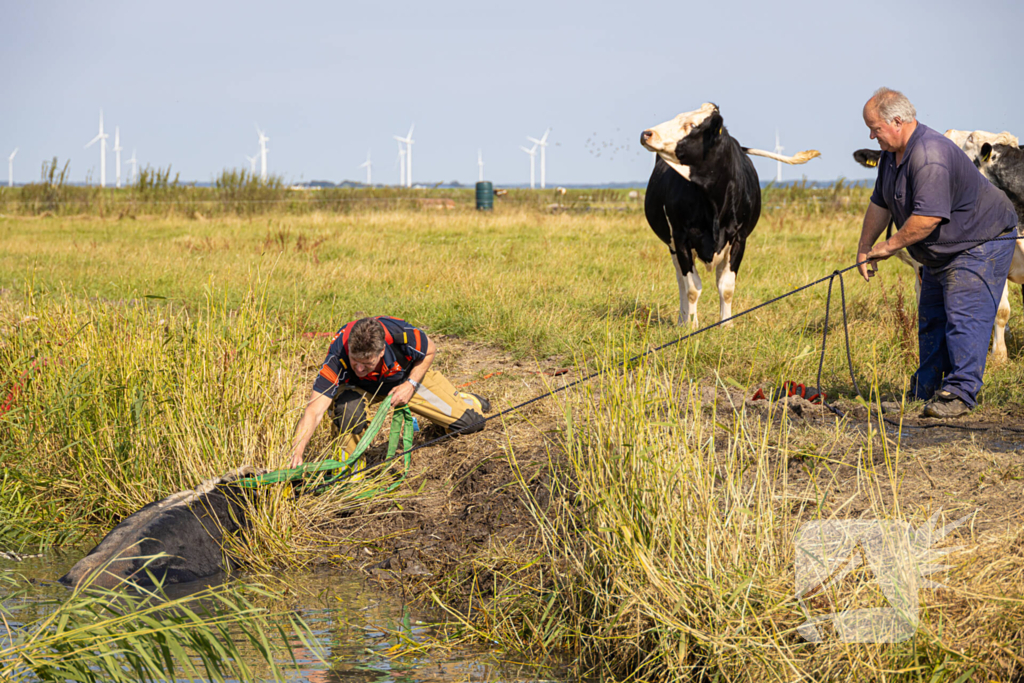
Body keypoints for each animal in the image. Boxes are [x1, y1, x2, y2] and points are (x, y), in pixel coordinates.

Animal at [638, 104, 823, 327]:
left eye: (692, 125)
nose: (646, 133)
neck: (712, 200)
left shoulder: (739, 239)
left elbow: (726, 287)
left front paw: (726, 325)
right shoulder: (681, 239)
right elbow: (692, 288)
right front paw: (691, 325)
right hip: (672, 245)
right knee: (681, 280)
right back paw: (683, 320)